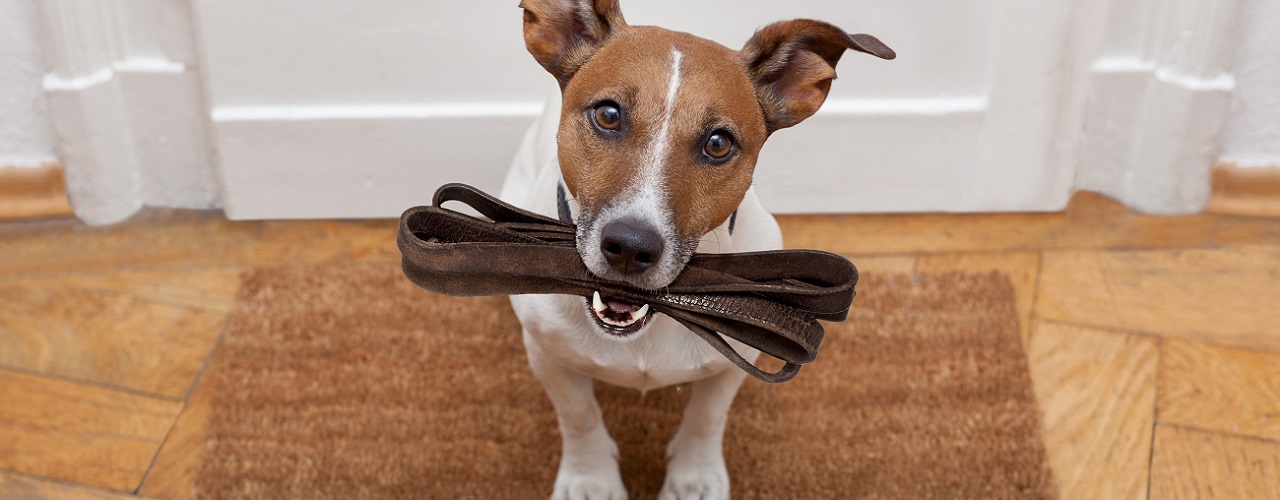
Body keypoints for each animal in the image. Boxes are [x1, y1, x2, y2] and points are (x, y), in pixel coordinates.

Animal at [494, 1, 896, 498]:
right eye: (608, 115)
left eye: (718, 143)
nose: (630, 247)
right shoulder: (547, 353)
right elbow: (578, 414)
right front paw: (590, 479)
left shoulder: (735, 363)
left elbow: (707, 417)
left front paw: (694, 478)